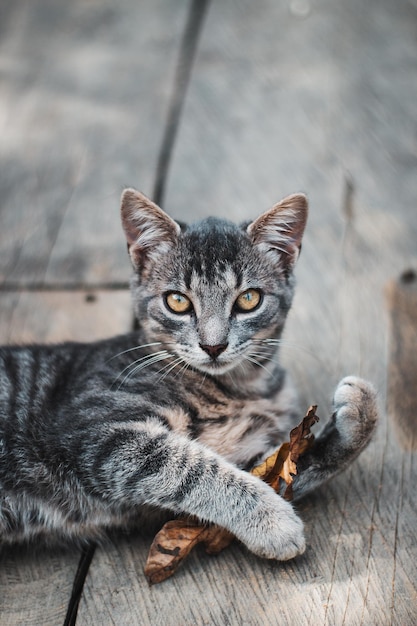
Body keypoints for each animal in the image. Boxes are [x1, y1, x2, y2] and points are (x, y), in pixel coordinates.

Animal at [0, 188, 376, 560]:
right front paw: (271, 521)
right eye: (177, 301)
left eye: (249, 299)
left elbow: (288, 465)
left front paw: (362, 414)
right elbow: (193, 467)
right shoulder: (94, 432)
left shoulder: (250, 453)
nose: (214, 345)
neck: (240, 388)